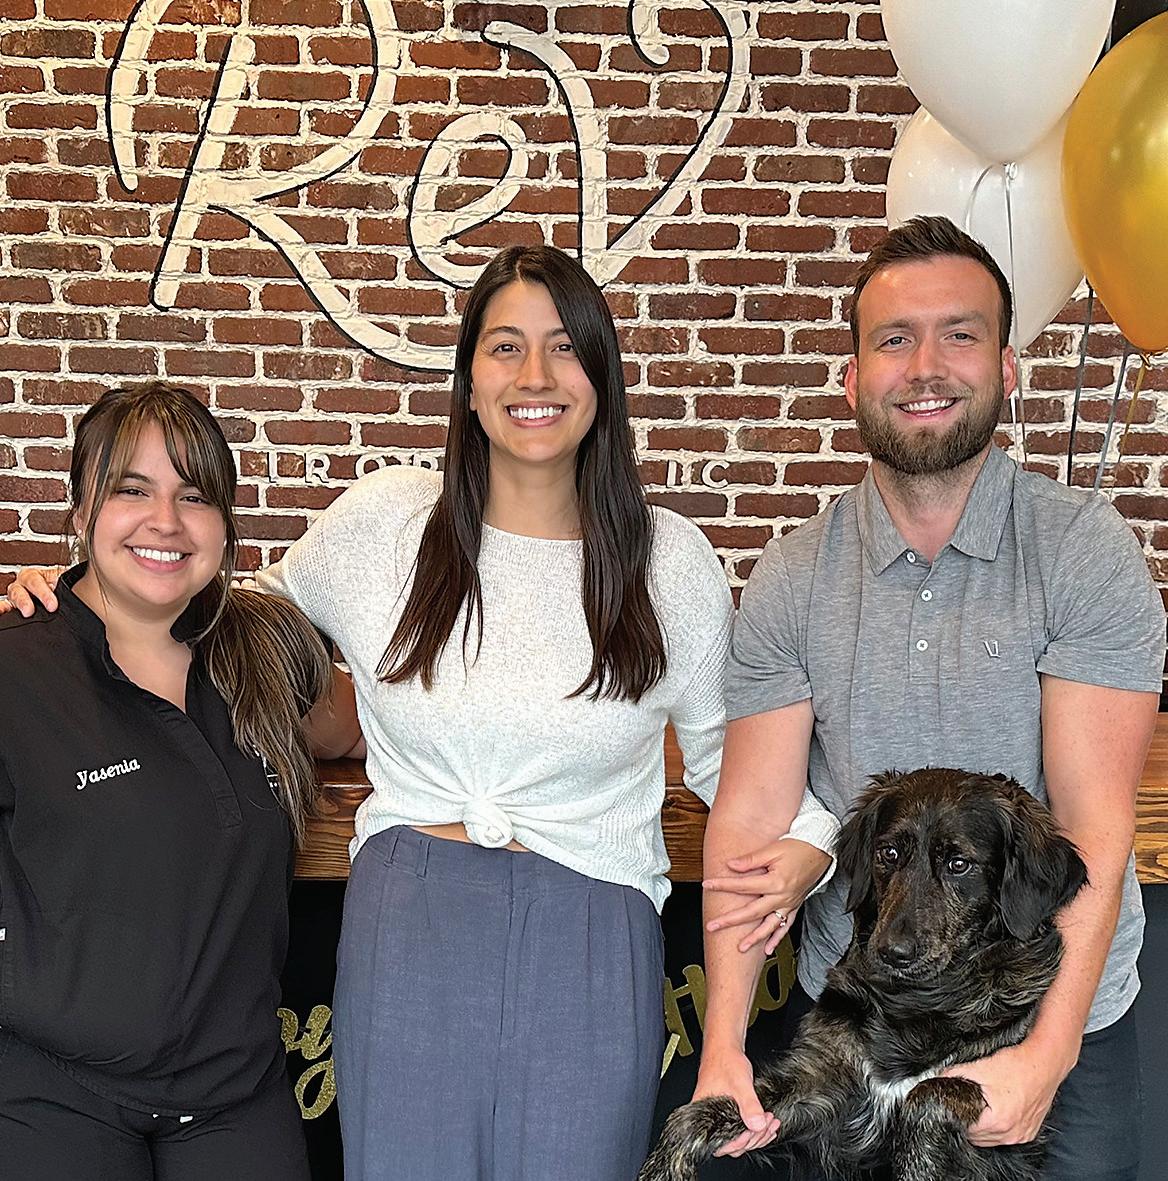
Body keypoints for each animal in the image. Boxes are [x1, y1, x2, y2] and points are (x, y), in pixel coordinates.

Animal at [639, 768, 1088, 1181]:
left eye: (959, 864)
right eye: (888, 853)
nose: (893, 952)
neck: (920, 1002)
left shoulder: (999, 1117)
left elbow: (927, 1095)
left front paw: (914, 1161)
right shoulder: (822, 1086)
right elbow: (693, 1115)